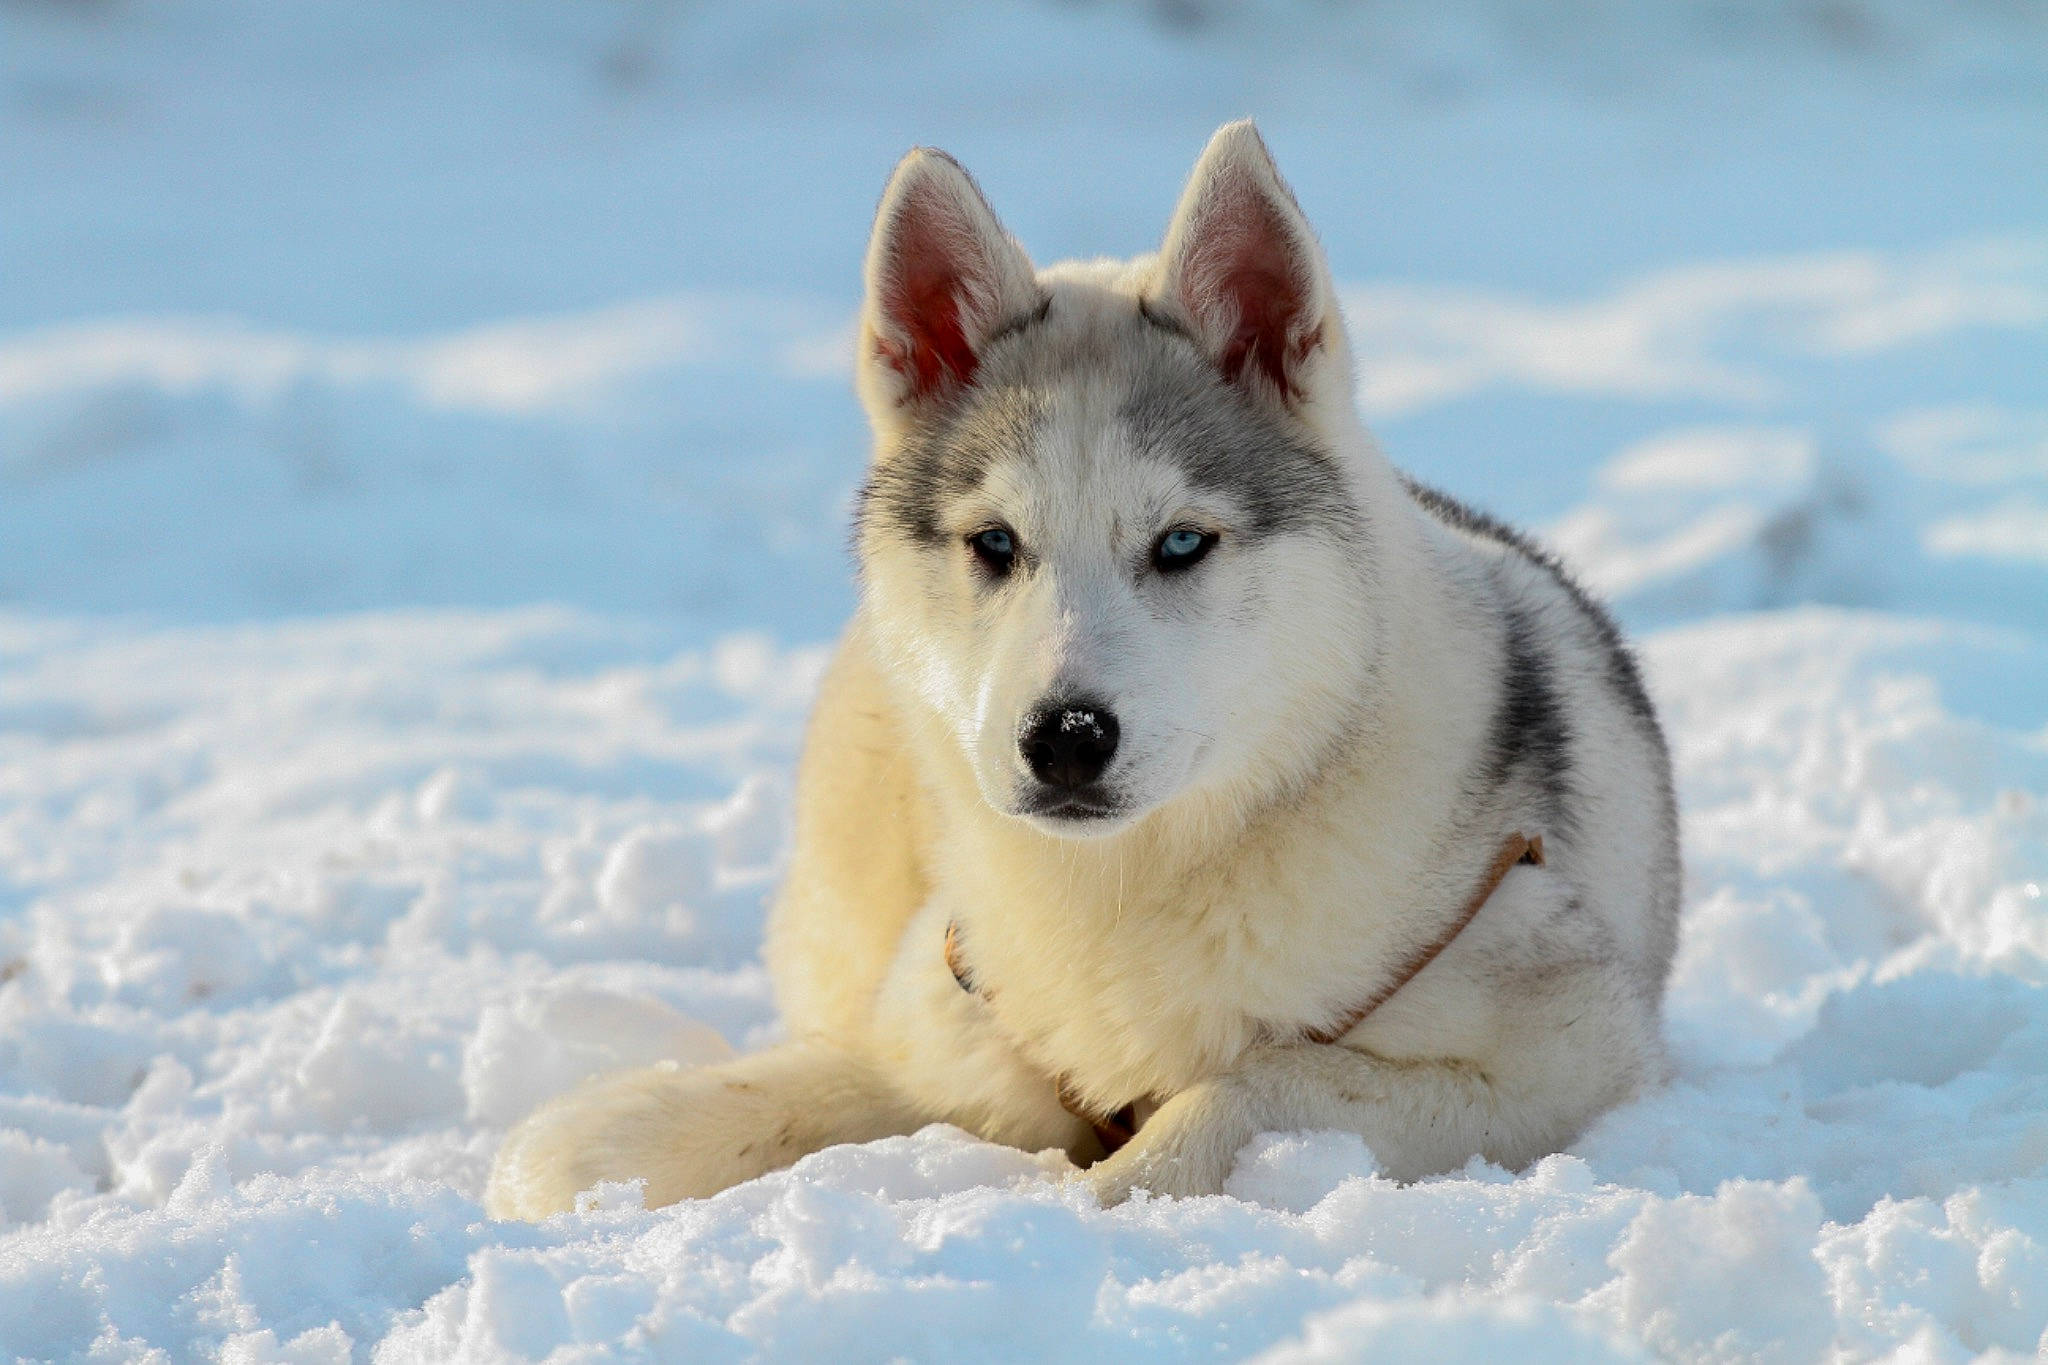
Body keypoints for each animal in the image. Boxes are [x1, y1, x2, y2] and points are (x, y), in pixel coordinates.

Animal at [485, 121, 1680, 1219]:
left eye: (1182, 541)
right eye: (994, 543)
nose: (1064, 738)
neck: (1128, 887)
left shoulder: (1565, 1048)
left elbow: (1248, 1087)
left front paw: (1093, 1204)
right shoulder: (944, 1013)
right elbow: (799, 1087)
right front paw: (589, 1141)